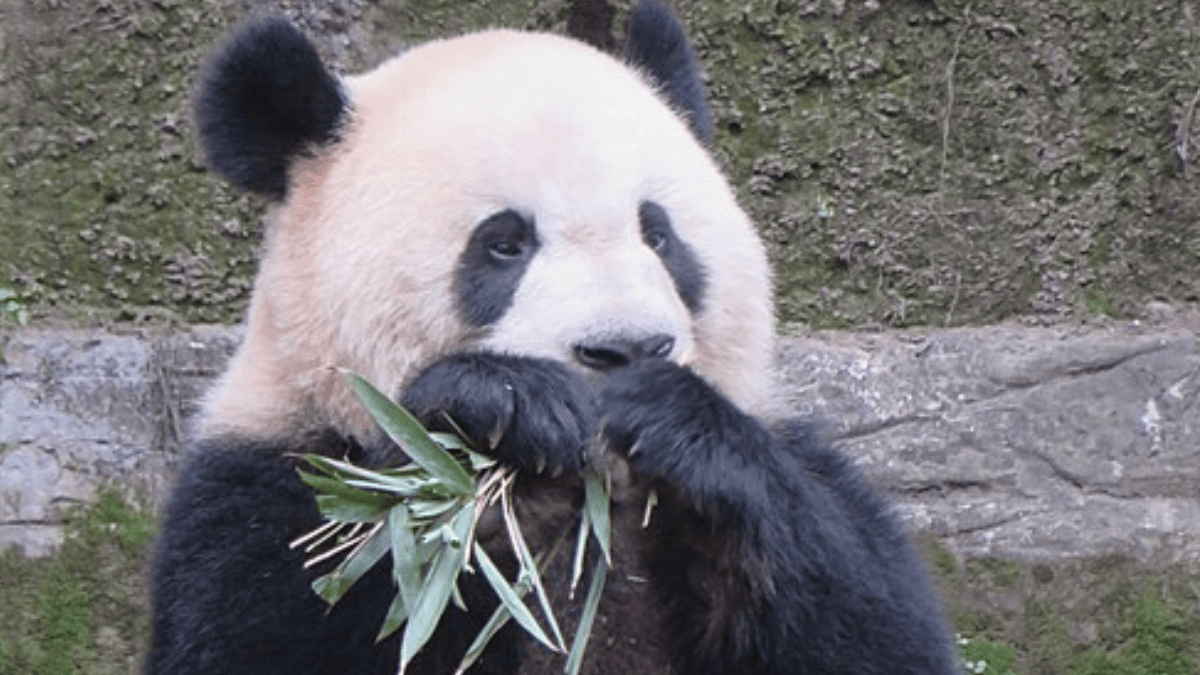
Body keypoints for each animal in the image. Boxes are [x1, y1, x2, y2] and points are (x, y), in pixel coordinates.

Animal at [145, 3, 958, 675]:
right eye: (504, 244)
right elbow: (295, 621)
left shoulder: (797, 467)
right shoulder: (281, 478)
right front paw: (505, 407)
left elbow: (869, 626)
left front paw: (678, 424)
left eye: (658, 234)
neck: (589, 505)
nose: (625, 349)